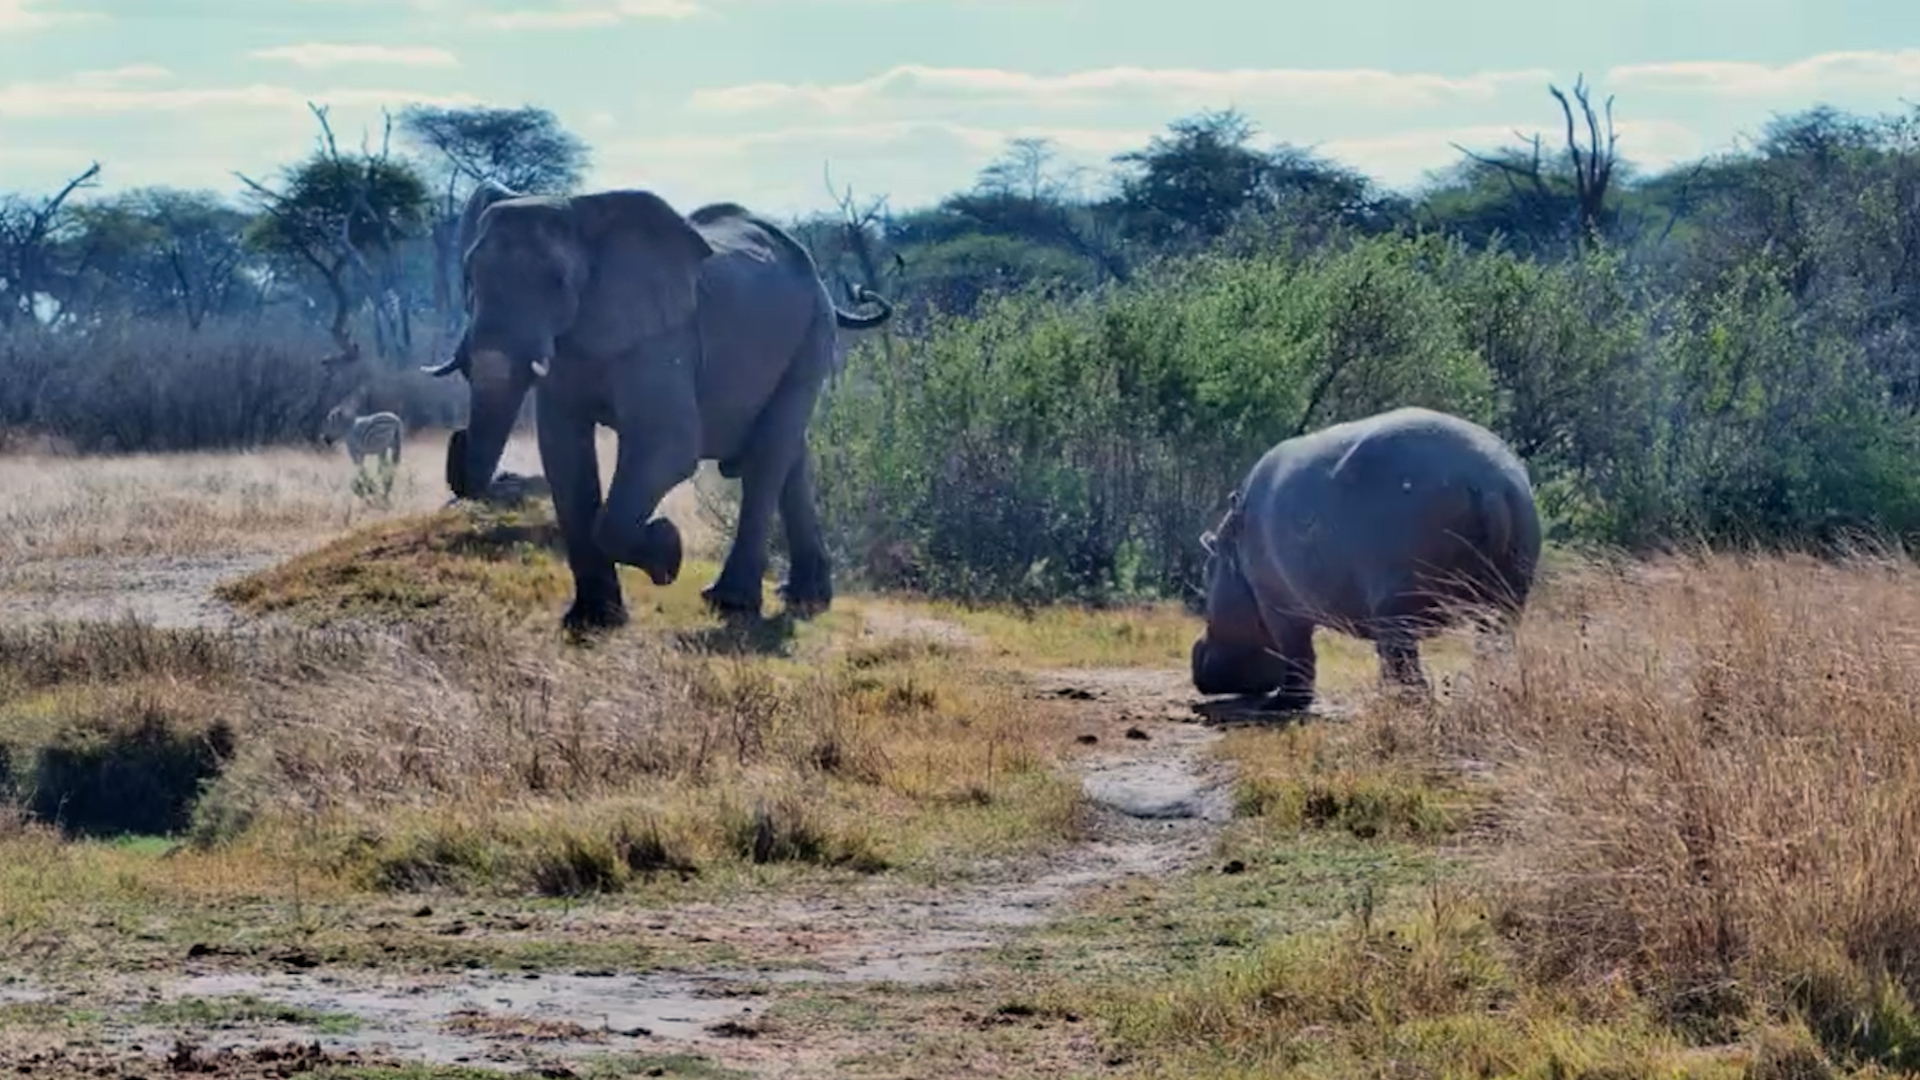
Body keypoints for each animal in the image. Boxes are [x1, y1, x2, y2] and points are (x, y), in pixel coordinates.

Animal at [425, 180, 893, 631]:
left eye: (557, 282)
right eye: (469, 279)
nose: (457, 438)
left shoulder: (665, 338)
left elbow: (669, 446)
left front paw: (668, 551)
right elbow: (563, 455)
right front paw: (595, 621)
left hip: (813, 335)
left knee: (768, 456)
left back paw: (730, 602)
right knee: (792, 456)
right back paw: (804, 597)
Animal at [1190, 406, 1542, 711]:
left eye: (1206, 574)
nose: (1196, 658)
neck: (1234, 546)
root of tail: (1487, 483)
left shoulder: (1278, 604)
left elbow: (1297, 653)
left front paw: (1282, 704)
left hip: (1398, 596)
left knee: (1403, 661)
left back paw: (1401, 703)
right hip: (1507, 593)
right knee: (1489, 646)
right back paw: (1489, 690)